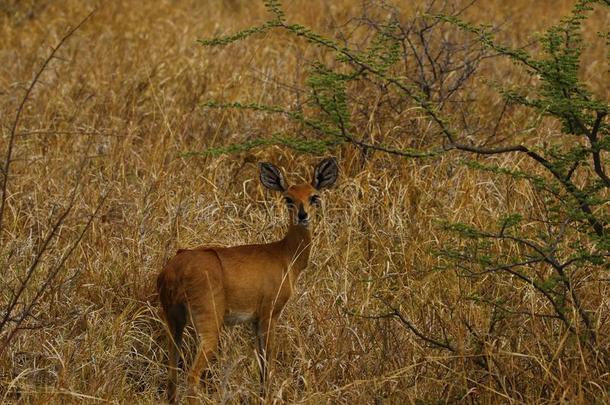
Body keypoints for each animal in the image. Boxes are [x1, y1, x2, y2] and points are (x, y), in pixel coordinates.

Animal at [157, 157, 338, 400]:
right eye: (288, 198)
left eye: (314, 196)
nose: (303, 215)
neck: (285, 255)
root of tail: (174, 269)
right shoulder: (269, 313)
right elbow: (268, 363)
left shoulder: (253, 319)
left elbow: (261, 364)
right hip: (208, 322)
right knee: (191, 376)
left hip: (173, 319)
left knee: (171, 375)